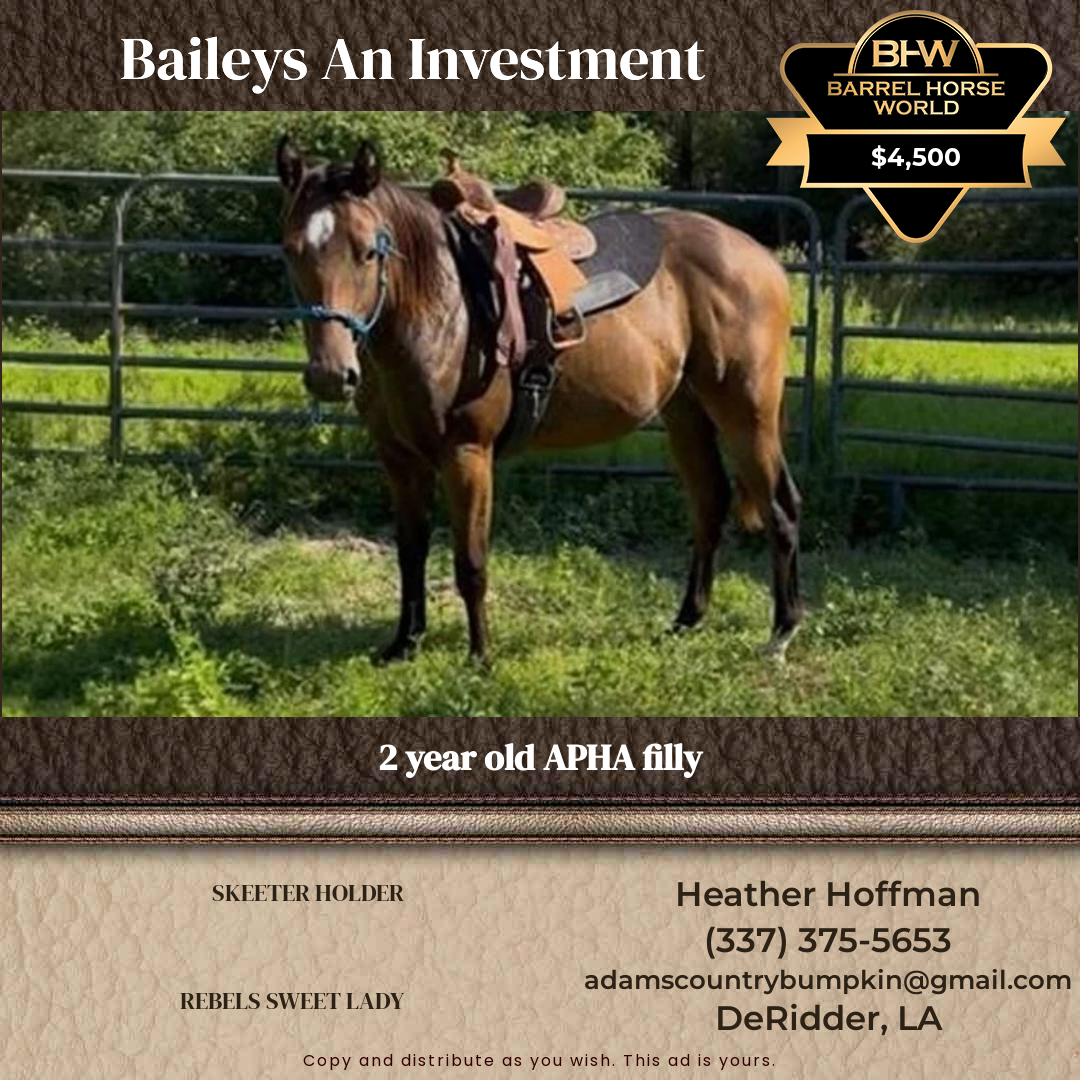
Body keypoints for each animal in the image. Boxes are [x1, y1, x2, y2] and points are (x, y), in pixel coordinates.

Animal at [277, 136, 803, 664]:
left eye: (368, 252)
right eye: (291, 250)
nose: (330, 376)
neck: (442, 307)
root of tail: (762, 259)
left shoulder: (467, 454)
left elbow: (470, 562)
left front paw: (481, 656)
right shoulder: (400, 460)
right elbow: (410, 552)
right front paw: (404, 643)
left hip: (746, 412)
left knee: (780, 506)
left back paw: (781, 632)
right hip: (687, 412)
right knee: (710, 503)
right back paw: (687, 619)